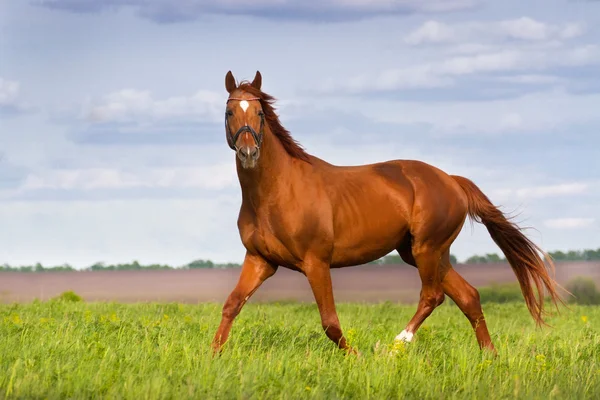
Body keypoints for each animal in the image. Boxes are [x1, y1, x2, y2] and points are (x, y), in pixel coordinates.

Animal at [211, 70, 564, 354]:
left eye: (259, 112)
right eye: (229, 111)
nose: (248, 152)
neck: (276, 194)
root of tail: (453, 181)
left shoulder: (316, 262)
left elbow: (330, 322)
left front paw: (357, 358)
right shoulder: (260, 260)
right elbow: (231, 306)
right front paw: (214, 358)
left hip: (426, 249)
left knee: (433, 296)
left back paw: (396, 344)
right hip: (426, 253)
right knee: (469, 296)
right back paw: (489, 356)